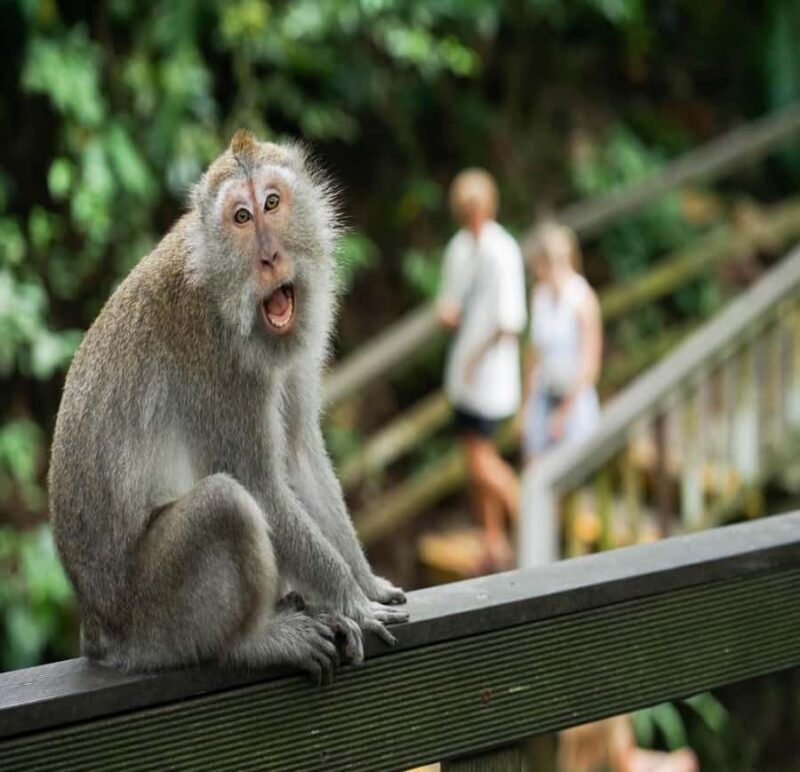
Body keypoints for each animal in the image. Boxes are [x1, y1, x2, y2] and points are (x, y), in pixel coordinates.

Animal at [48, 130, 408, 681]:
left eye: (272, 204)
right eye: (241, 217)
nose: (269, 257)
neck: (222, 288)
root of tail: (98, 629)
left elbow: (300, 454)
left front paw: (367, 582)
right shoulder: (218, 363)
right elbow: (258, 485)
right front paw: (351, 599)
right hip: (154, 616)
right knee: (227, 505)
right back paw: (255, 642)